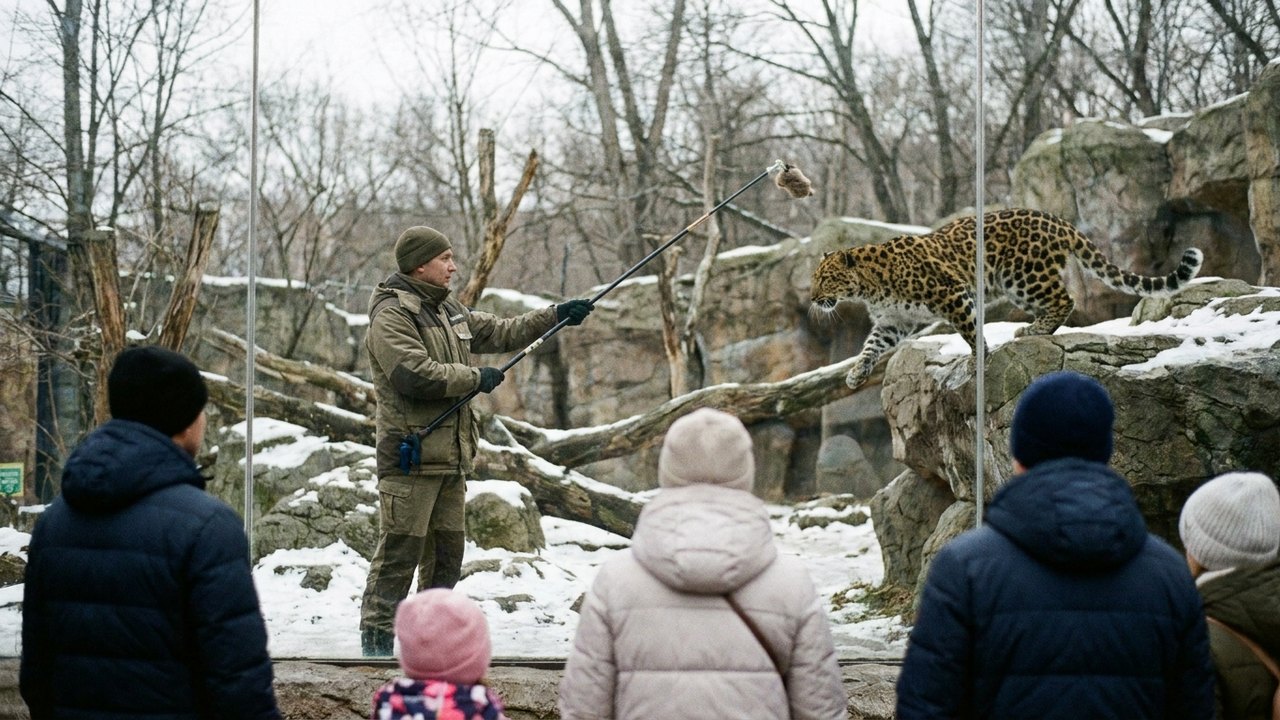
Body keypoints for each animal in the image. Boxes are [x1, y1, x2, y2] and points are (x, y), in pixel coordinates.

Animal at [809, 208, 1204, 389]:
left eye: (825, 278)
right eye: (814, 279)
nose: (812, 298)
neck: (868, 287)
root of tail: (1058, 220)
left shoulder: (952, 293)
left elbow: (970, 330)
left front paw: (977, 361)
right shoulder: (895, 321)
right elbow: (871, 346)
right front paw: (856, 374)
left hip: (1022, 275)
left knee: (1066, 300)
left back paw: (1030, 331)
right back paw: (1034, 329)